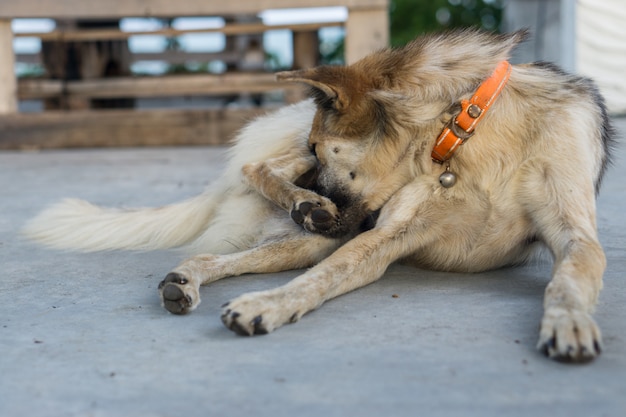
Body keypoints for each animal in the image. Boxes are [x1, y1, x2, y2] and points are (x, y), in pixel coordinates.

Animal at [22, 29, 612, 360]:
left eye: (319, 145)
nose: (311, 195)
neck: (472, 131)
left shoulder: (576, 235)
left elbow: (570, 276)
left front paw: (570, 322)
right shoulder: (384, 233)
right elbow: (321, 279)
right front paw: (268, 305)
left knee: (219, 249)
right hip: (310, 226)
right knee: (254, 178)